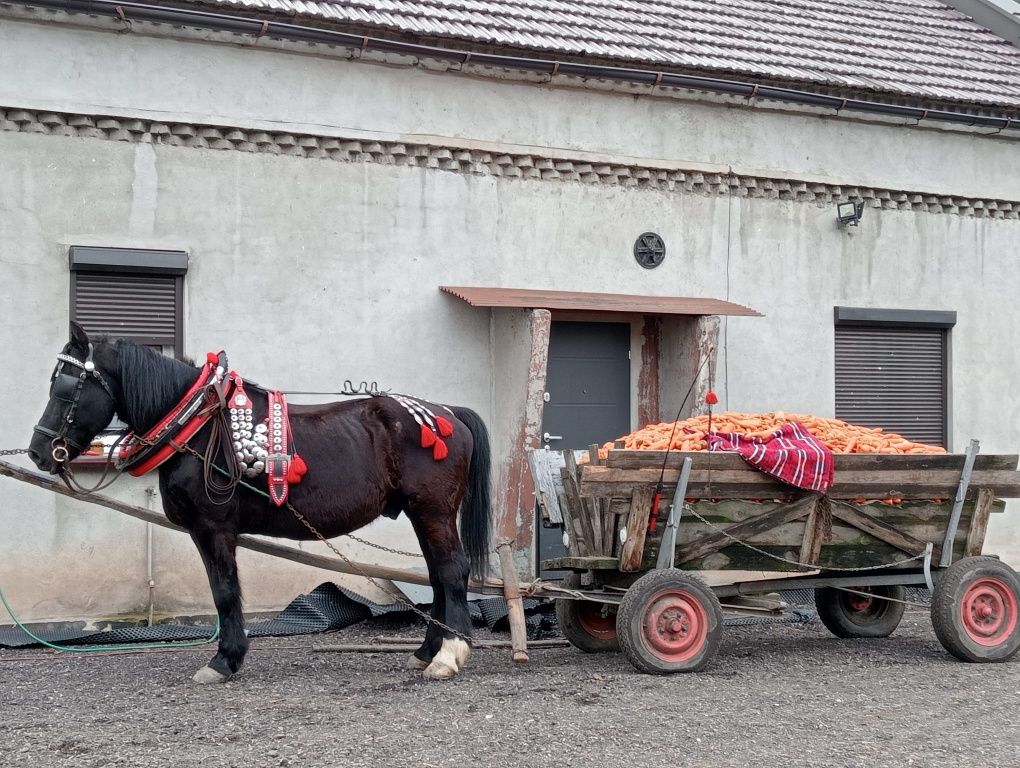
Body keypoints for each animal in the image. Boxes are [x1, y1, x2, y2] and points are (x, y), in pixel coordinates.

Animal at [29, 320, 491, 681]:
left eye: (66, 387)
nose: (39, 452)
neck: (196, 426)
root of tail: (447, 412)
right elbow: (223, 591)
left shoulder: (213, 528)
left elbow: (224, 591)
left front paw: (223, 661)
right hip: (421, 513)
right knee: (437, 576)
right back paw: (427, 651)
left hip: (433, 510)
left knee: (452, 571)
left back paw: (449, 654)